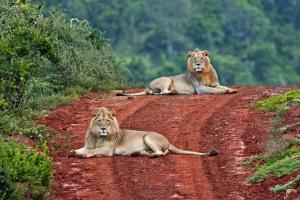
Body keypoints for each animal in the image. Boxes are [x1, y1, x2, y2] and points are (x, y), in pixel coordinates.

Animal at [72, 107, 218, 159]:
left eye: (107, 121)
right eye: (99, 121)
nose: (103, 129)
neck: (96, 137)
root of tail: (168, 141)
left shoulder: (108, 150)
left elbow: (93, 151)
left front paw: (83, 155)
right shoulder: (88, 145)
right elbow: (82, 149)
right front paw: (73, 152)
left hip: (148, 137)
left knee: (162, 152)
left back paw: (152, 156)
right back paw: (137, 153)